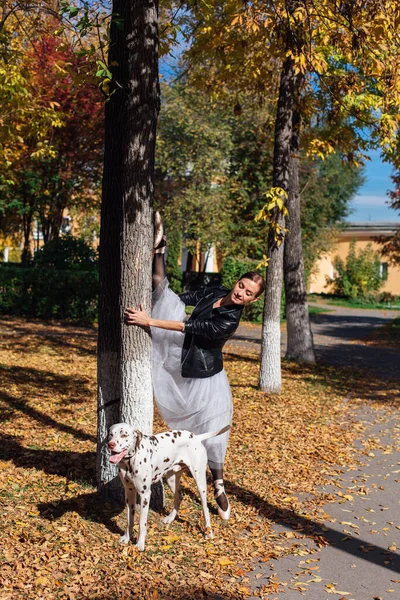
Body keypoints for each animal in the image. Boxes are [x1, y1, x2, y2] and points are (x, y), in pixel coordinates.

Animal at [108, 420, 230, 552]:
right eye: (111, 434)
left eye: (124, 435)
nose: (110, 444)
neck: (130, 461)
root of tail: (196, 437)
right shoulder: (129, 492)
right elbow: (129, 519)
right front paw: (127, 537)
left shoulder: (145, 495)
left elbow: (142, 523)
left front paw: (140, 544)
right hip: (172, 480)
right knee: (179, 497)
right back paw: (170, 518)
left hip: (200, 482)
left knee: (205, 507)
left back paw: (208, 532)